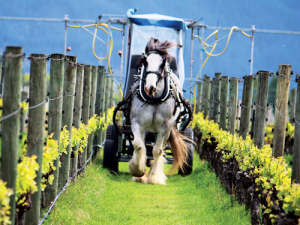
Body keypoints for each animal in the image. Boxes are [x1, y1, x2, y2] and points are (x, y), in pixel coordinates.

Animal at [128, 37, 190, 185]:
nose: (149, 87)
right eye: (145, 61)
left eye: (162, 64)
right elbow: (138, 145)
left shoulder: (164, 127)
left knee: (159, 148)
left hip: (167, 131)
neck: (153, 98)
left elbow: (157, 151)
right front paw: (138, 171)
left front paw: (155, 177)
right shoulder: (137, 123)